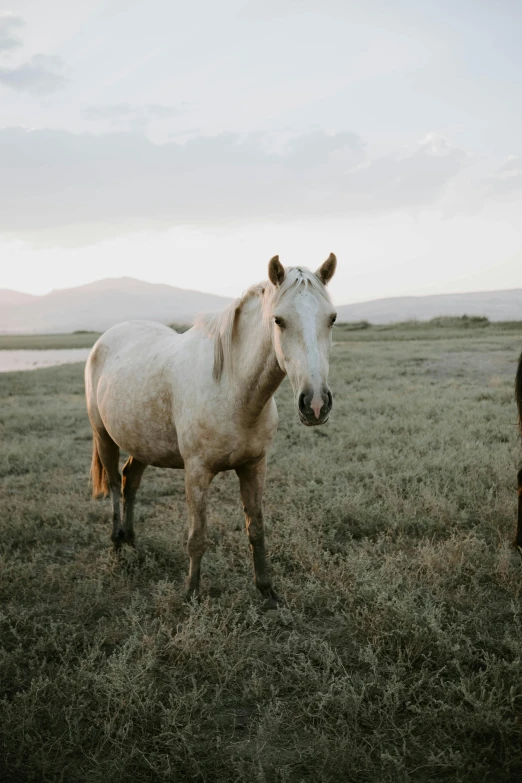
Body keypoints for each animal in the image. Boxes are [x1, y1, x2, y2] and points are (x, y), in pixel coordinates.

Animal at [84, 254, 338, 604]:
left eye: (332, 319)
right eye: (279, 320)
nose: (315, 404)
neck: (231, 389)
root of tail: (106, 338)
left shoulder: (253, 466)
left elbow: (256, 530)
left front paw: (267, 592)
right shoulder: (197, 472)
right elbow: (198, 537)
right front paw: (191, 594)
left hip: (142, 444)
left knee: (129, 481)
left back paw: (132, 542)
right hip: (104, 436)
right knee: (111, 483)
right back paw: (118, 543)